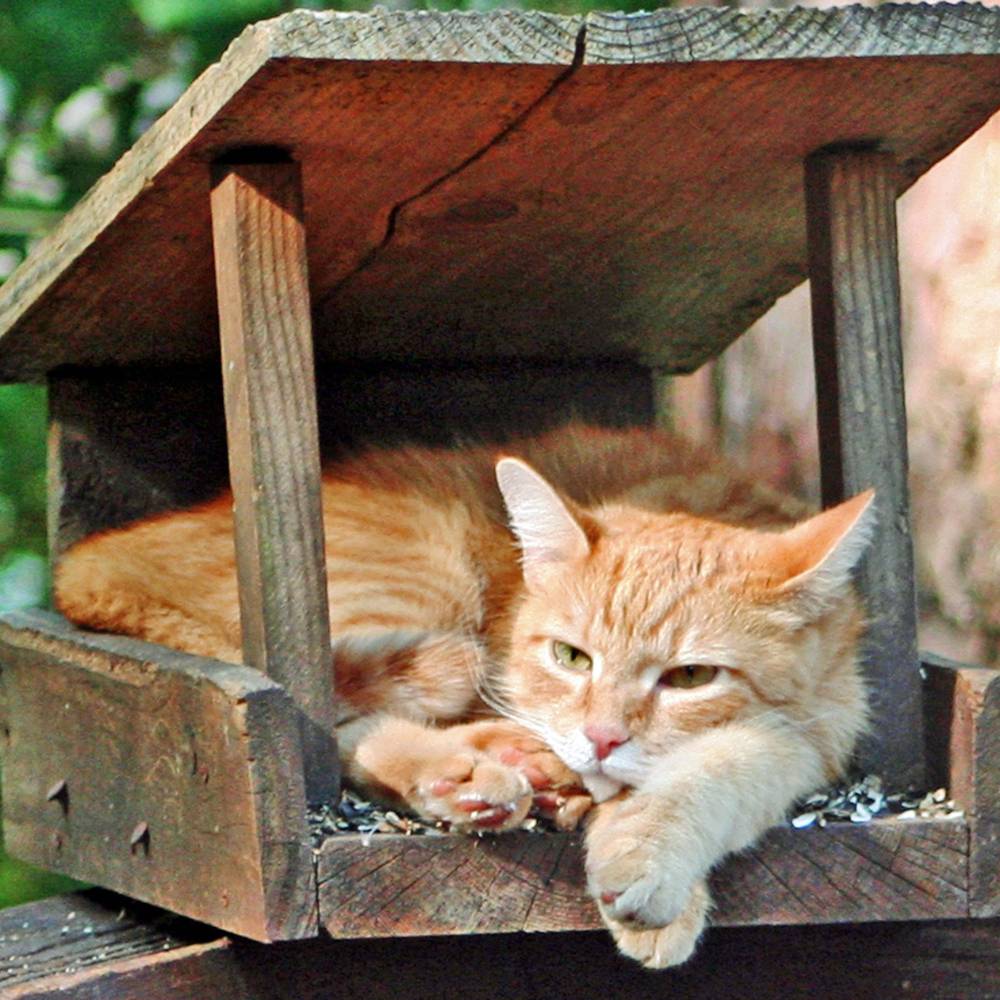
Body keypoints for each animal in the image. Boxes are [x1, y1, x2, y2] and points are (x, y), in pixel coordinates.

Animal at [54, 424, 872, 968]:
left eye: (691, 678)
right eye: (572, 657)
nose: (601, 737)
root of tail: (89, 560)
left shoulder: (819, 730)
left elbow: (726, 763)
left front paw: (641, 846)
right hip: (428, 574)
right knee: (335, 724)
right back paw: (481, 769)